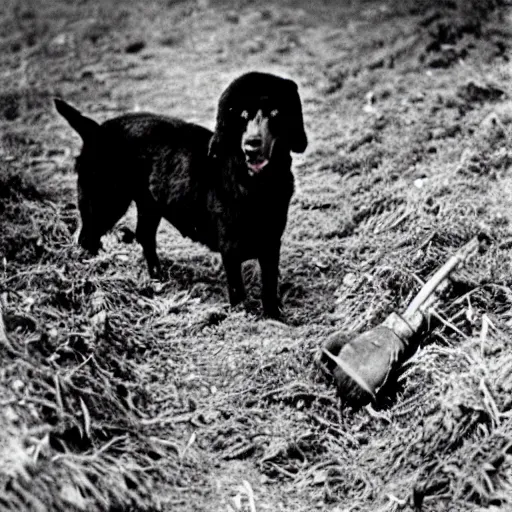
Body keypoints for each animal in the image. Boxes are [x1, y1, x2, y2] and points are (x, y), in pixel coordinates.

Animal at [55, 70, 306, 318]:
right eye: (243, 114)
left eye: (275, 112)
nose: (252, 144)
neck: (256, 185)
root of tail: (96, 131)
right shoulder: (230, 249)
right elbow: (238, 290)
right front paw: (242, 316)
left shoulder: (271, 243)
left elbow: (269, 285)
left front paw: (273, 317)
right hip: (105, 202)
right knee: (87, 237)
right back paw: (93, 275)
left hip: (148, 205)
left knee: (143, 235)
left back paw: (157, 277)